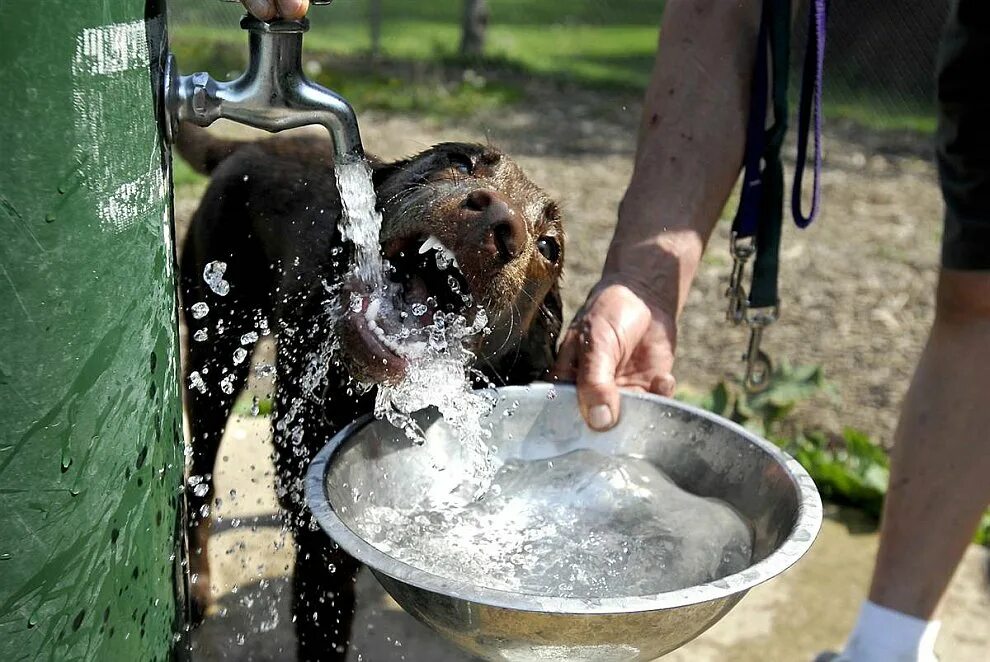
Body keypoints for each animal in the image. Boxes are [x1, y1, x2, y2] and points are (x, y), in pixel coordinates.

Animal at [177, 126, 564, 662]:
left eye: (550, 246)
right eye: (461, 160)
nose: (497, 220)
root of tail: (244, 145)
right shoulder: (320, 547)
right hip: (216, 352)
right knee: (198, 481)